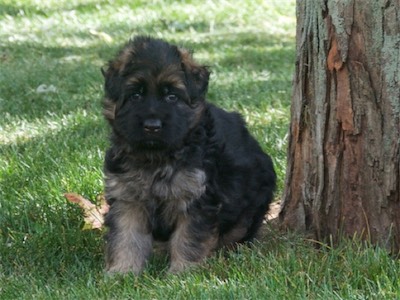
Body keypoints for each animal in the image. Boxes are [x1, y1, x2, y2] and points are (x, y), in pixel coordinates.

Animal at [101, 35, 276, 274]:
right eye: (135, 95)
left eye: (172, 97)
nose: (152, 126)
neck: (157, 157)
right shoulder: (127, 198)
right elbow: (126, 237)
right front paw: (122, 272)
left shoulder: (196, 198)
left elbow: (188, 239)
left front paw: (182, 273)